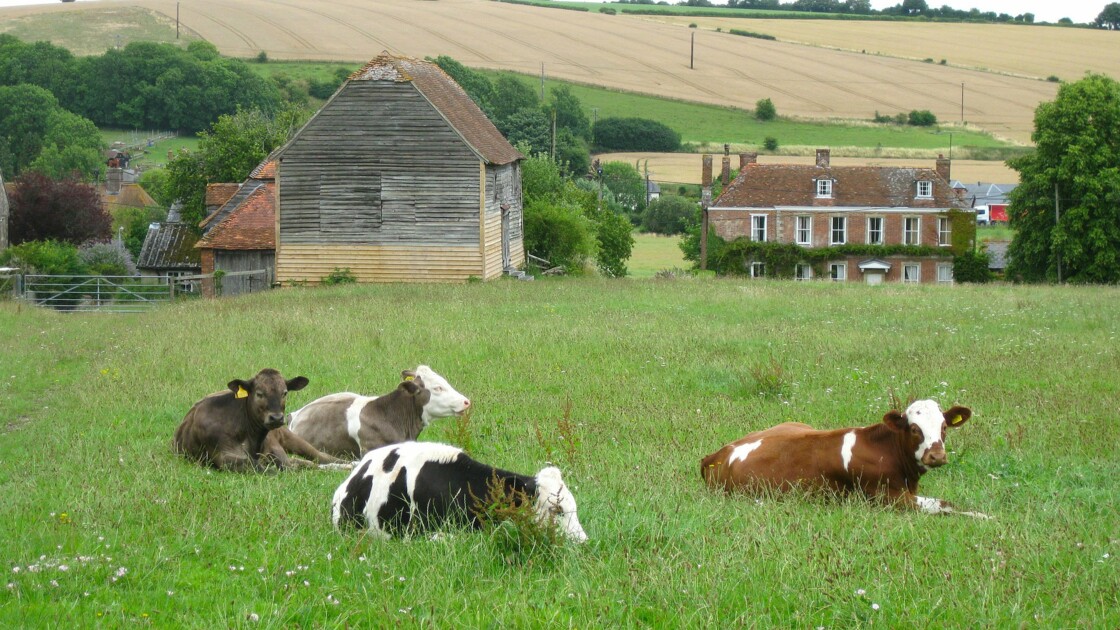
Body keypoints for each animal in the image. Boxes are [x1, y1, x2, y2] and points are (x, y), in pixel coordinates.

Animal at [169, 367, 344, 470]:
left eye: (285, 392)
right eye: (259, 393)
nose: (276, 418)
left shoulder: (275, 451)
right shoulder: (224, 456)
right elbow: (263, 467)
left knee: (320, 457)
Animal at [698, 399, 990, 517]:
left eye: (944, 427)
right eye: (915, 428)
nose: (936, 455)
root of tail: (718, 453)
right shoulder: (887, 498)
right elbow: (944, 505)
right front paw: (985, 517)